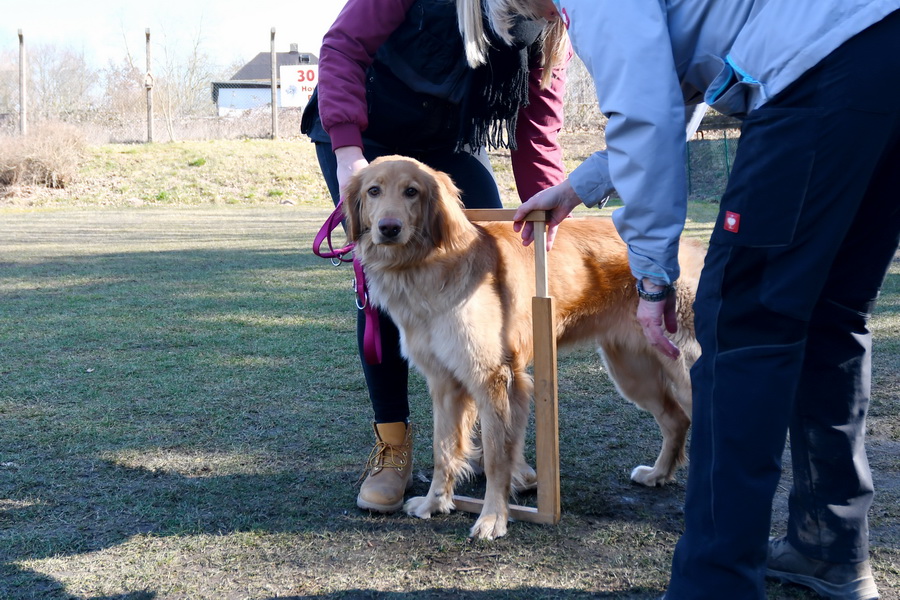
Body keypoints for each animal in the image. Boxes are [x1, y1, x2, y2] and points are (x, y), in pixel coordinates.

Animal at [342, 155, 708, 540]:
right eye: (374, 191)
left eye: (411, 191)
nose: (389, 228)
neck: (426, 264)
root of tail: (691, 246)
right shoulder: (445, 383)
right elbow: (444, 449)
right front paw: (434, 503)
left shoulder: (493, 378)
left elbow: (496, 457)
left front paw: (493, 517)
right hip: (632, 372)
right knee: (675, 420)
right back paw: (657, 474)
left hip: (683, 370)